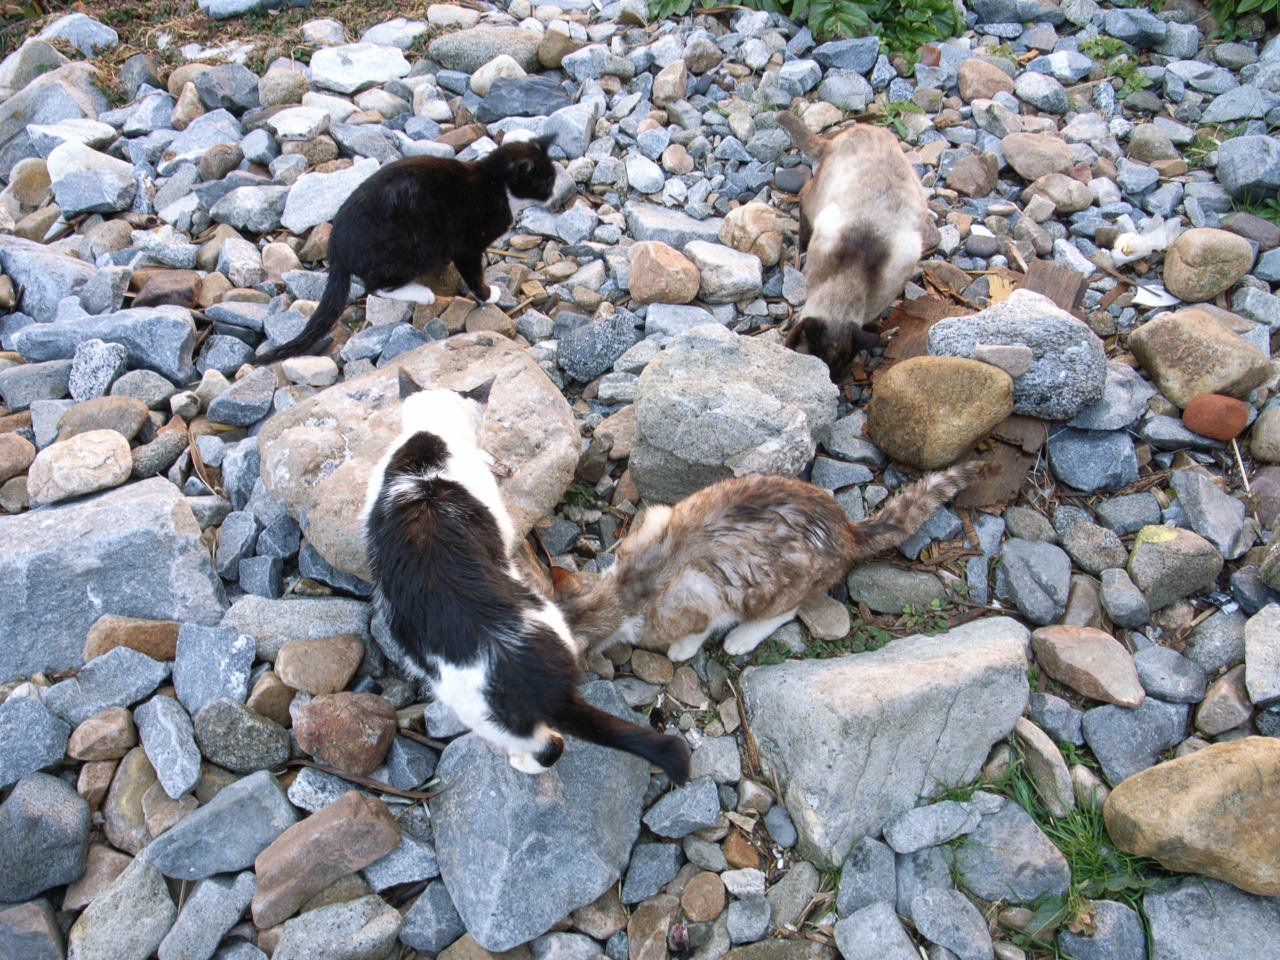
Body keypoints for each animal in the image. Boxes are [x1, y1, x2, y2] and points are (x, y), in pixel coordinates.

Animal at [257, 131, 558, 363]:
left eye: (552, 178)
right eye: (545, 182)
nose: (556, 196)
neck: (496, 186)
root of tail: (337, 249)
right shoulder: (467, 245)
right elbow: (473, 274)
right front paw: (488, 294)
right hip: (413, 249)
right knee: (376, 286)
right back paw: (422, 294)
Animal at [360, 371, 691, 783]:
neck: (430, 444)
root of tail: (539, 680)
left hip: (482, 712)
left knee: (549, 746)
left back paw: (520, 761)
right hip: (552, 623)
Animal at [552, 463, 988, 660]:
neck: (627, 586)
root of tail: (846, 526)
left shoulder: (697, 601)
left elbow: (698, 628)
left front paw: (681, 649)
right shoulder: (656, 518)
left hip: (779, 586)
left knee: (787, 609)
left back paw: (741, 638)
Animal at [768, 110, 931, 381]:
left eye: (837, 374)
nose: (830, 384)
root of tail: (865, 128)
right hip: (818, 198)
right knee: (803, 194)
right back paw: (801, 244)